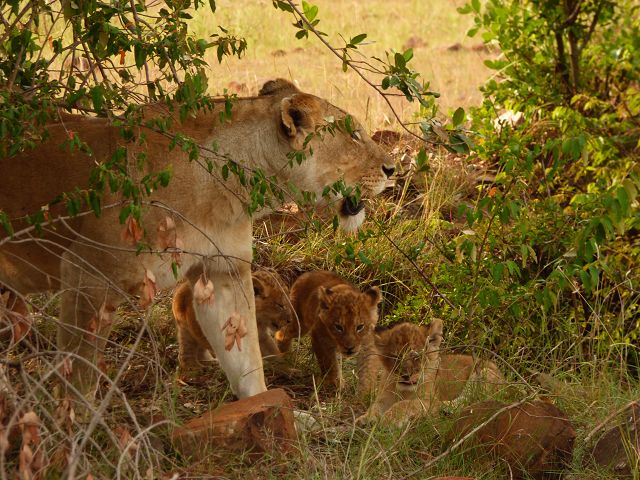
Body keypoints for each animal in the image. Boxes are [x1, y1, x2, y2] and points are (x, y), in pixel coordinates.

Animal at [0, 79, 394, 400]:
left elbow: (246, 359)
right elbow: (79, 375)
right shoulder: (87, 273)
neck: (231, 185)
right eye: (353, 135)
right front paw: (78, 433)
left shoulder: (223, 272)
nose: (393, 168)